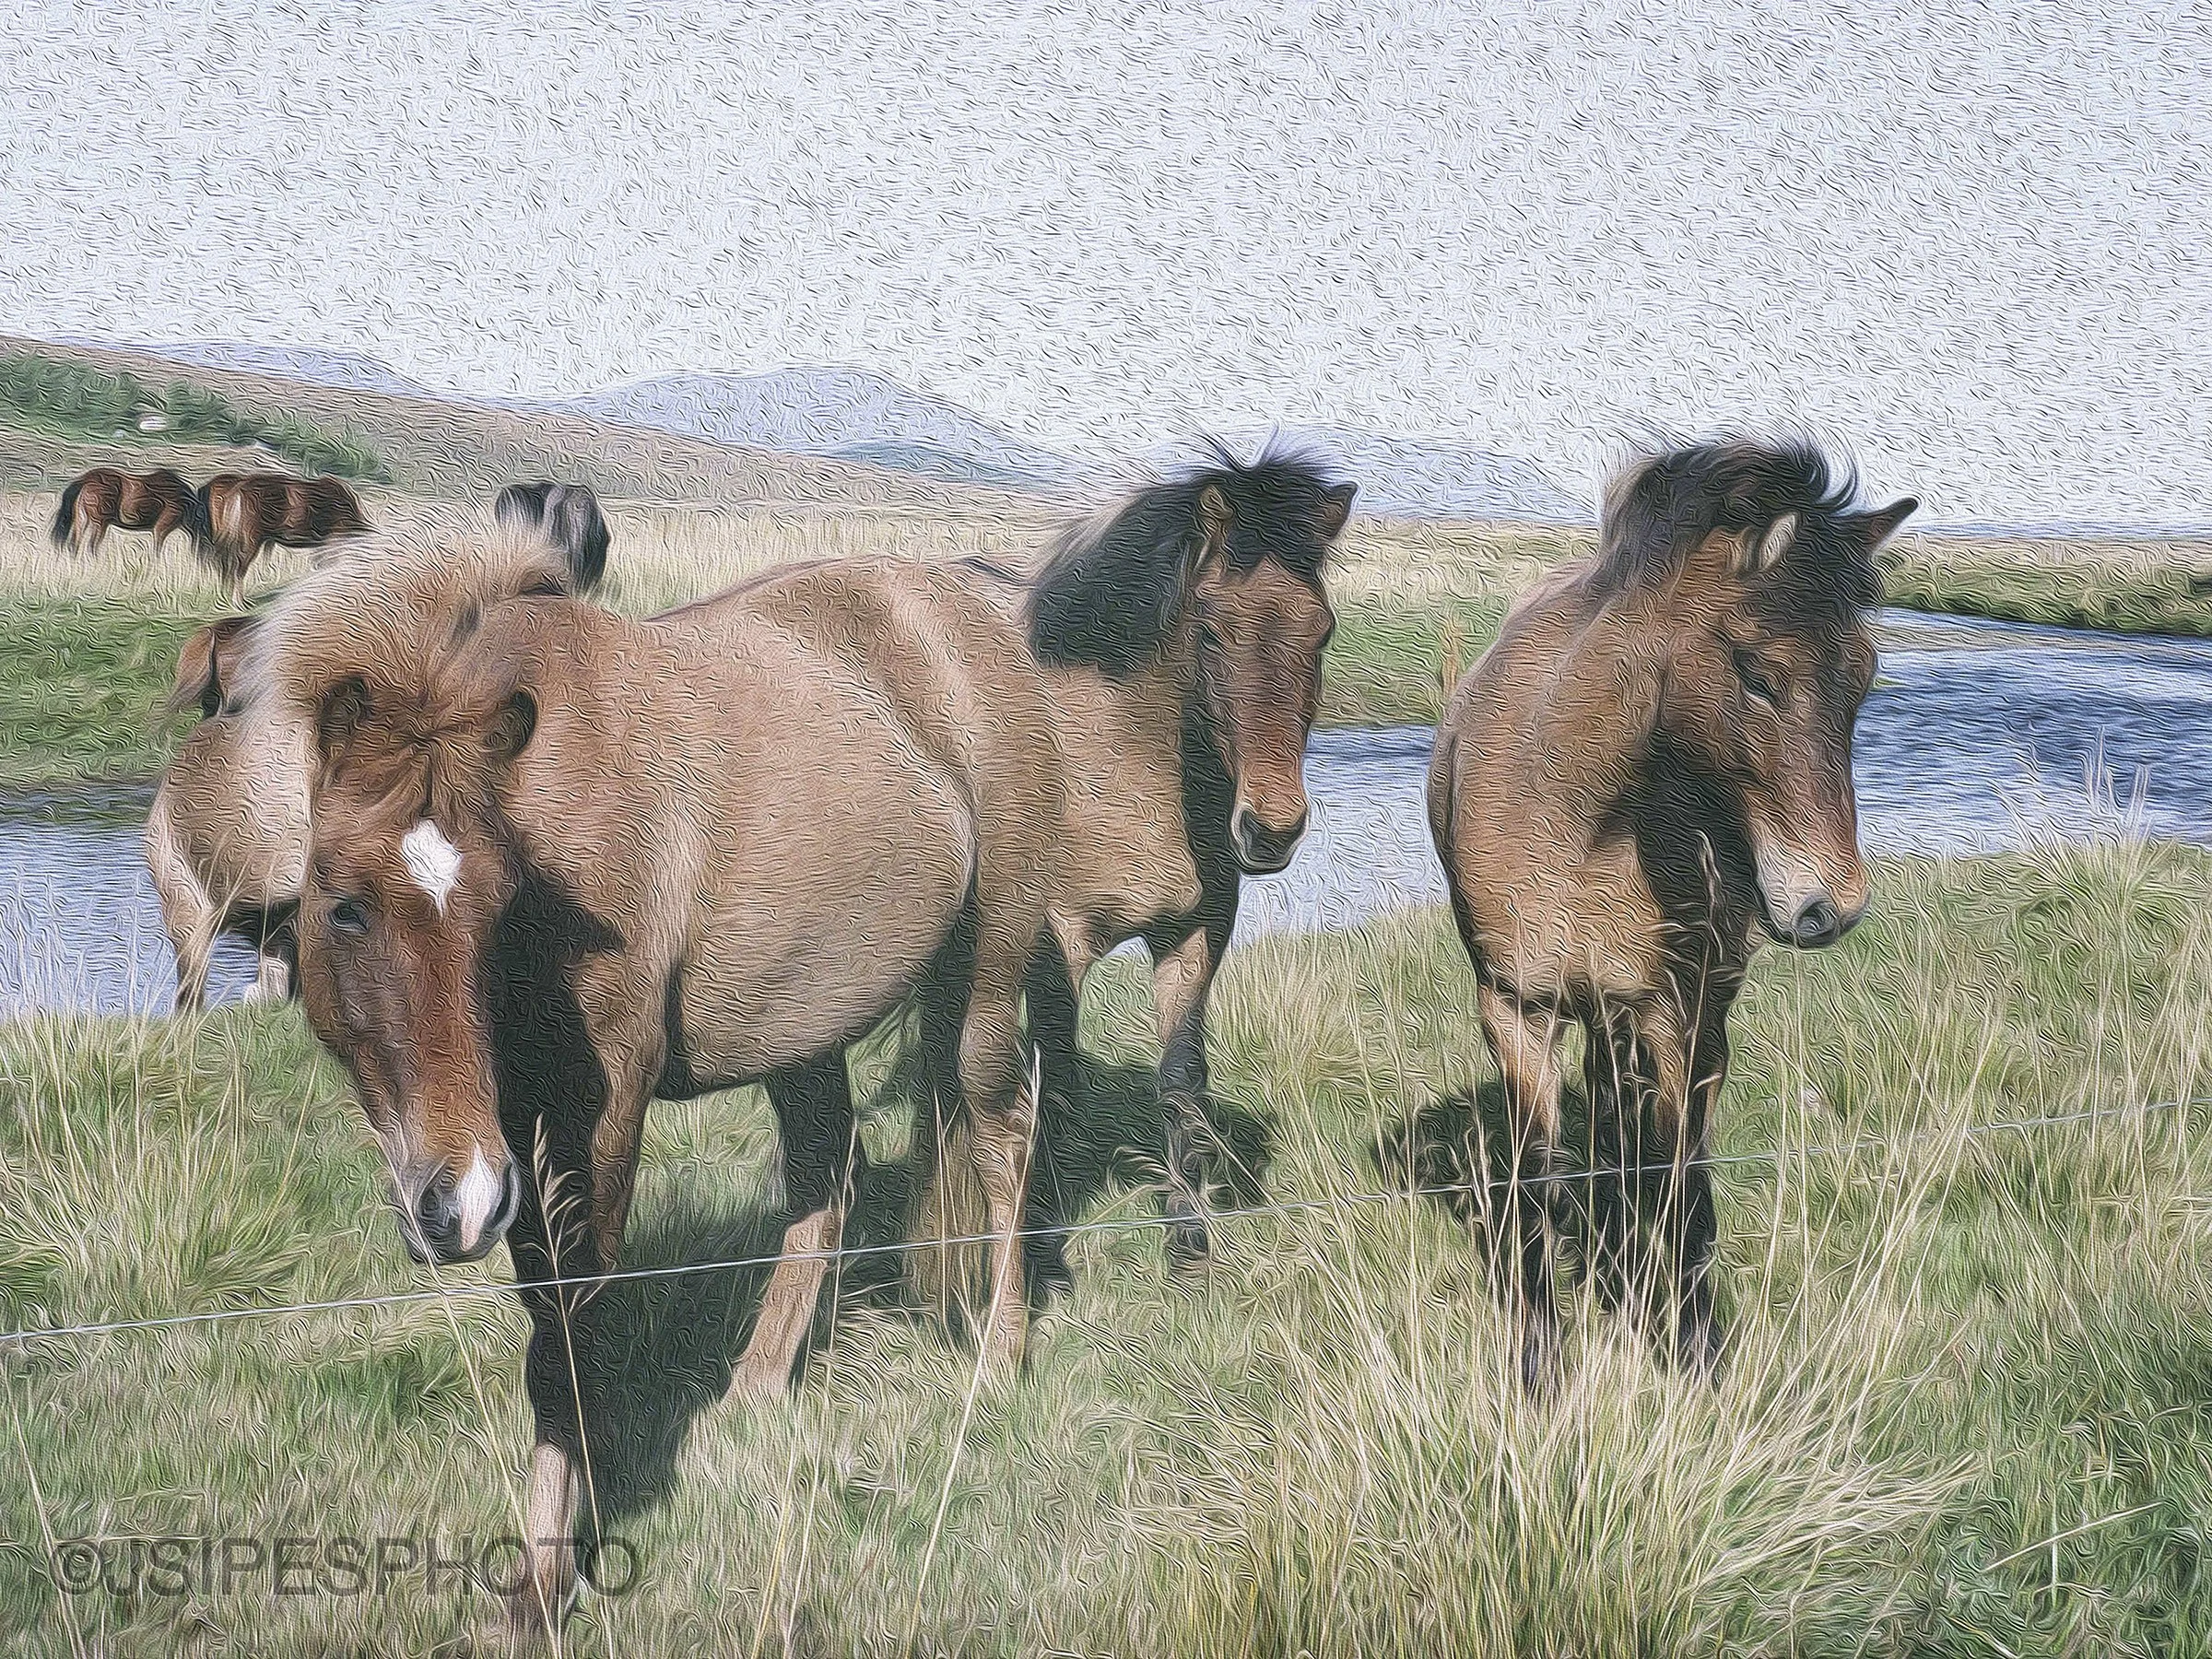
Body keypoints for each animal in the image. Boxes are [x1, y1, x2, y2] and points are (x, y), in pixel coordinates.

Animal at [49, 467, 203, 561]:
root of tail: (85, 481)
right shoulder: (161, 528)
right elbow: (156, 550)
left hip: (82, 519)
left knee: (75, 543)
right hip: (100, 523)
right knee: (91, 545)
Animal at [1426, 438, 1915, 1391]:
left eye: (1866, 680)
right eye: (1760, 675)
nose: (1831, 907)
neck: (1581, 813)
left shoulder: (1672, 1013)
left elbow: (1681, 1179)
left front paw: (1696, 1353)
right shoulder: (1515, 1007)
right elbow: (1533, 1173)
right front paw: (1540, 1363)